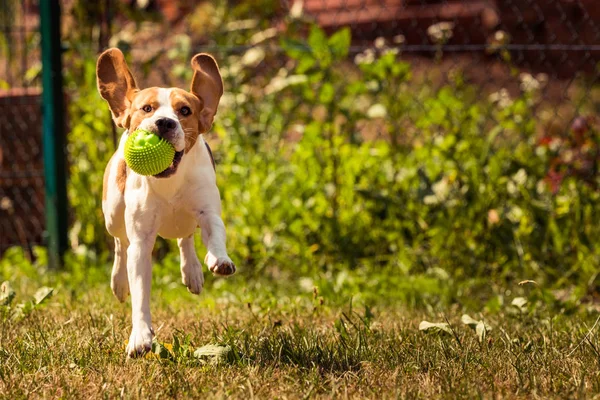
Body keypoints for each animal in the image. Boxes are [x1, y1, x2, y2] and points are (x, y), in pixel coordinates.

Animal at [97, 48, 236, 358]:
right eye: (147, 108)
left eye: (185, 111)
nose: (164, 122)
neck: (168, 180)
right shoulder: (141, 241)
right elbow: (139, 290)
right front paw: (140, 337)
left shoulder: (208, 211)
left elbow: (215, 233)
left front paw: (219, 259)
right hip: (113, 213)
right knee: (119, 243)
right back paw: (118, 282)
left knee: (186, 237)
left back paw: (192, 270)